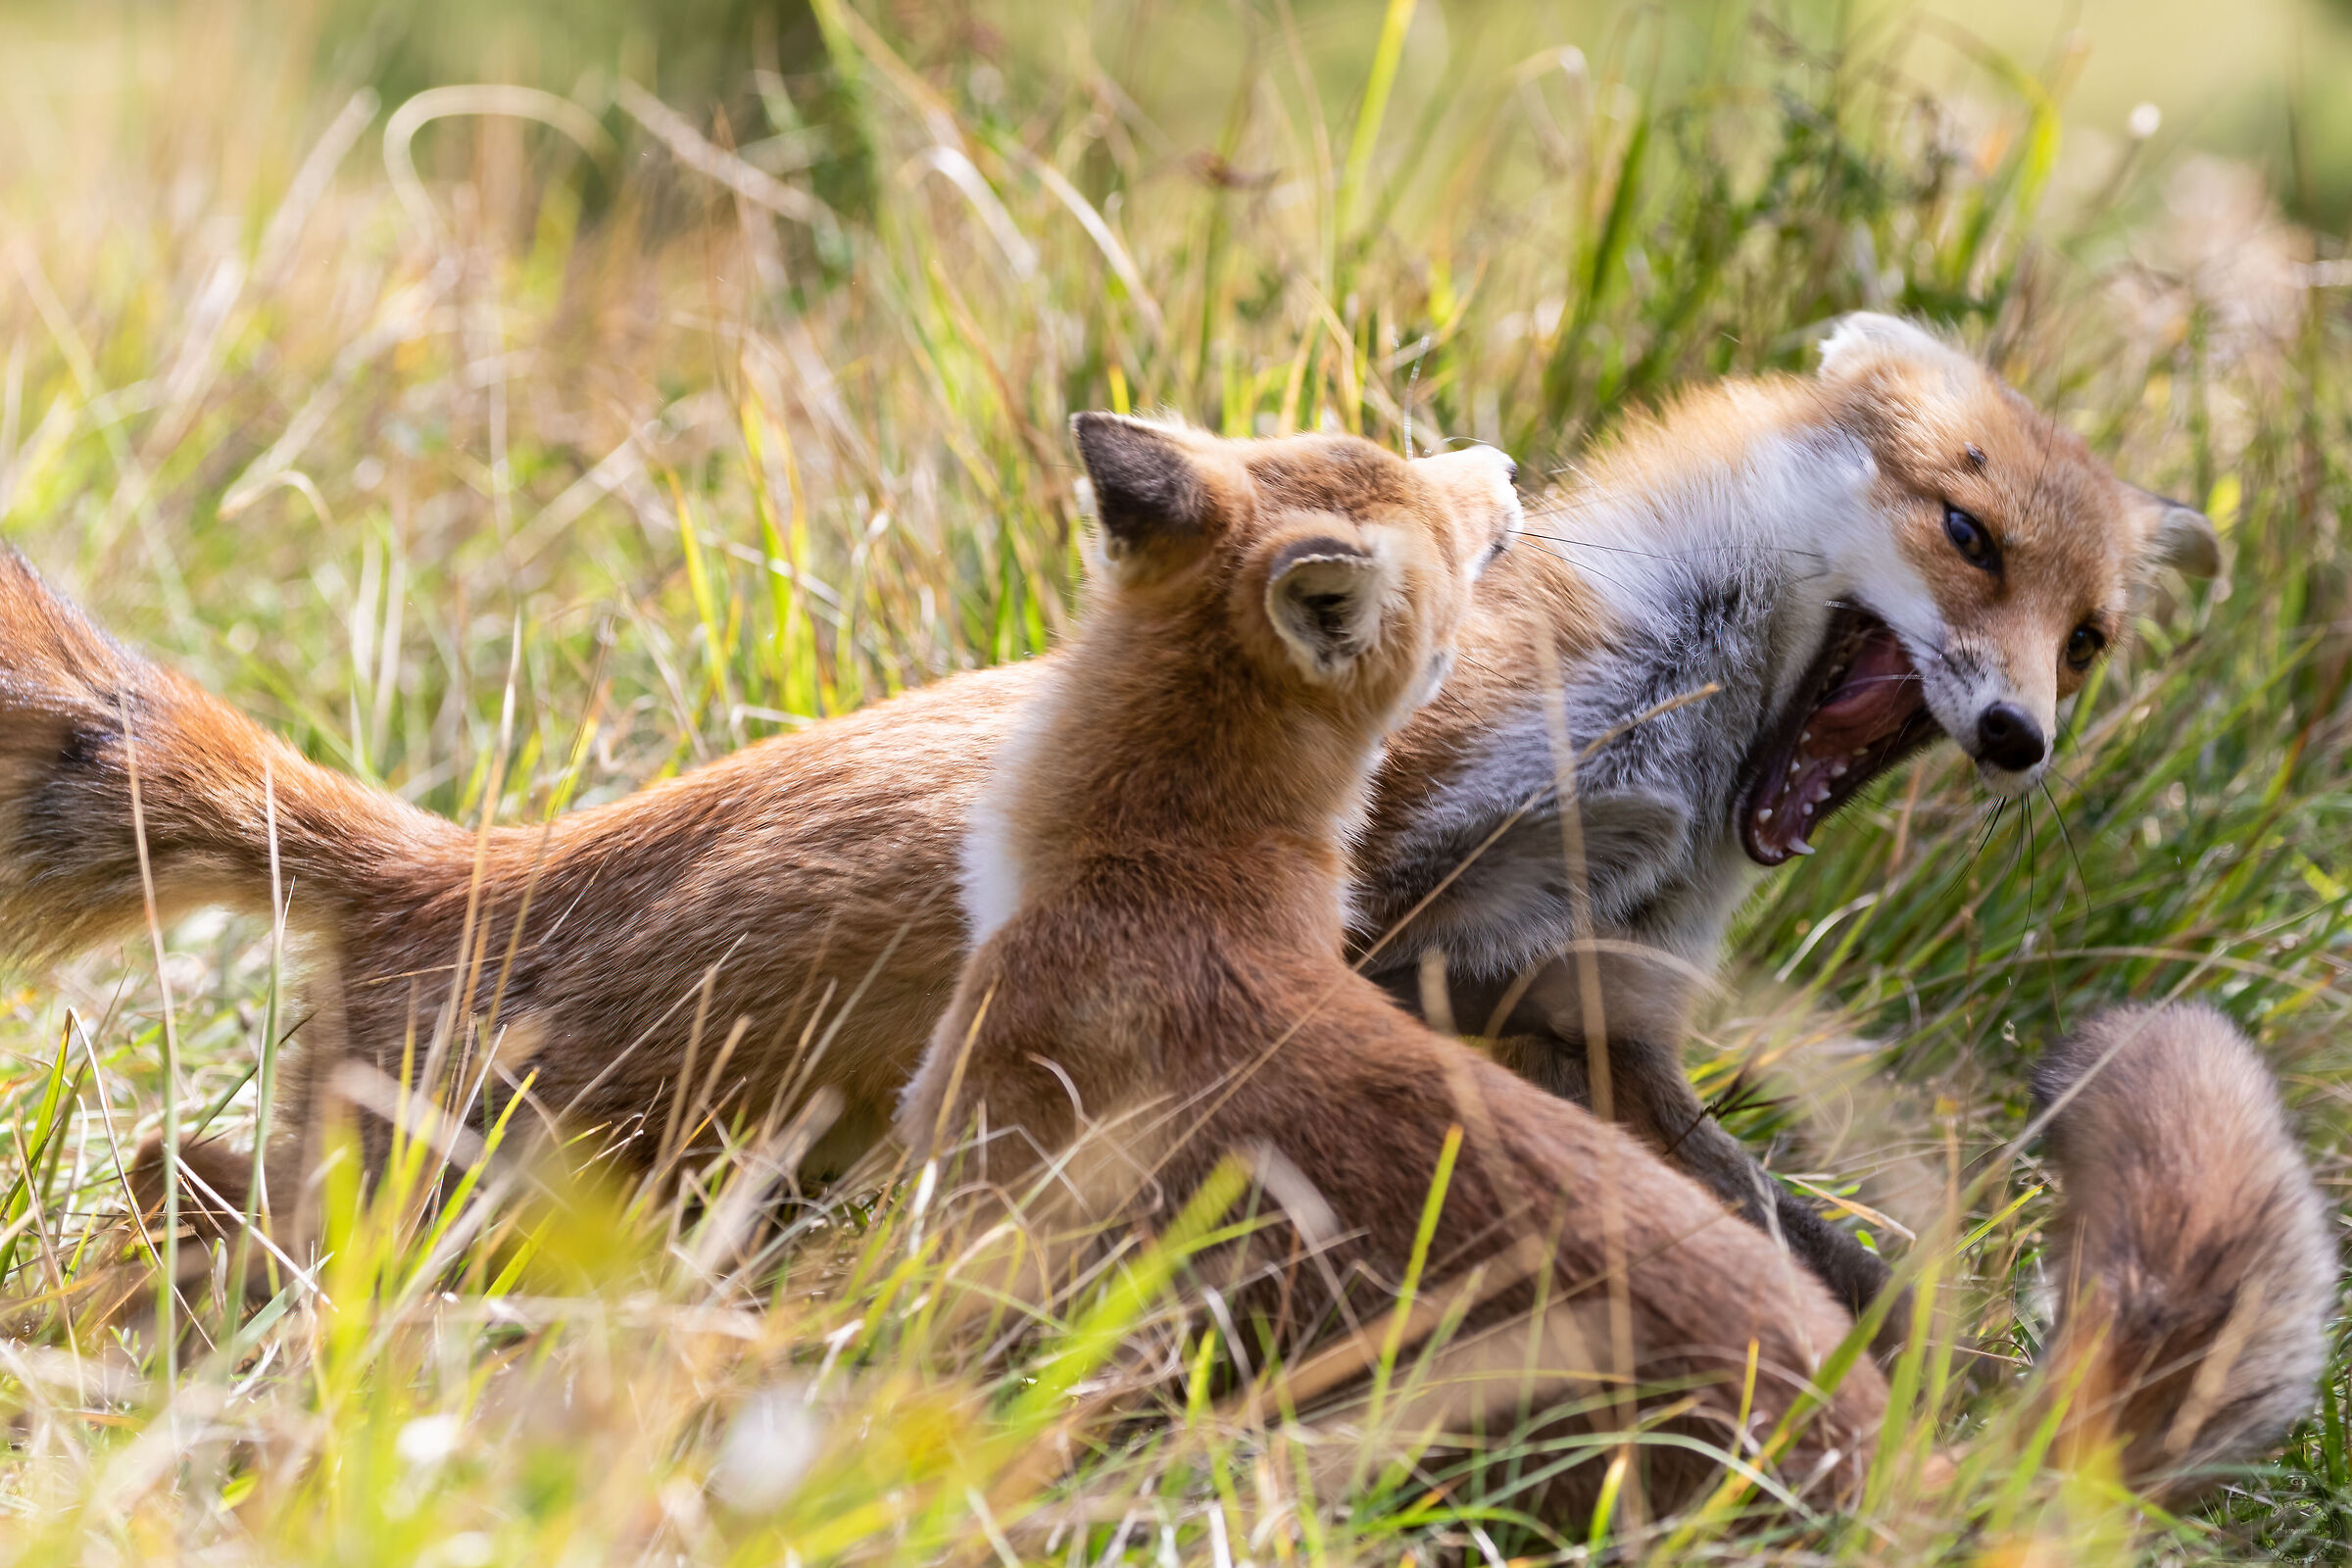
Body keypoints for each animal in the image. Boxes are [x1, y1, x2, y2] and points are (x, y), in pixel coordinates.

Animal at [0, 313, 2221, 1313]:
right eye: (1966, 536)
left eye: (2091, 635)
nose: (2015, 736)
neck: (1651, 761)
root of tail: (470, 860)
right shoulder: (1389, 900)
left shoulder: (1576, 1012)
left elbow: (1811, 1242)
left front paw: (1959, 1383)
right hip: (488, 1187)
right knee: (212, 1208)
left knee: (199, 1188)